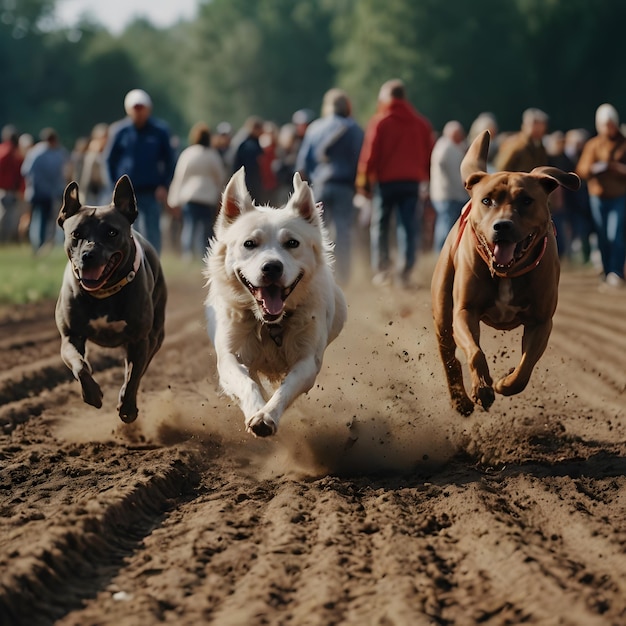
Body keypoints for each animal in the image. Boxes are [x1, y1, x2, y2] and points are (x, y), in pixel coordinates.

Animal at [204, 168, 346, 436]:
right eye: (249, 243)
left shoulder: (307, 360)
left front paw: (266, 415)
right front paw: (256, 409)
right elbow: (246, 382)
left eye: (292, 243)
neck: (269, 323)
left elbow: (286, 388)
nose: (272, 267)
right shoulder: (230, 355)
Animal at [428, 130, 580, 414]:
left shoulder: (541, 321)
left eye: (526, 200)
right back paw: (460, 399)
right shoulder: (464, 311)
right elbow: (475, 352)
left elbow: (525, 367)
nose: (502, 226)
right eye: (487, 200)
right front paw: (482, 388)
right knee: (448, 354)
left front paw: (503, 382)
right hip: (442, 310)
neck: (507, 273)